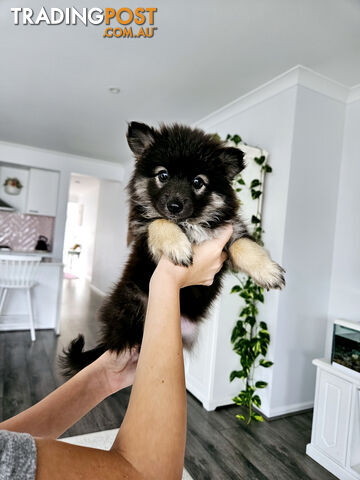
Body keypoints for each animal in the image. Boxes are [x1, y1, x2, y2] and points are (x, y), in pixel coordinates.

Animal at [61, 123, 284, 376]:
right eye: (163, 175)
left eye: (198, 182)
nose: (174, 206)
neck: (189, 223)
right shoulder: (144, 236)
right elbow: (159, 222)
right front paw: (177, 246)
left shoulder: (230, 231)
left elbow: (246, 245)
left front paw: (268, 271)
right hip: (133, 304)